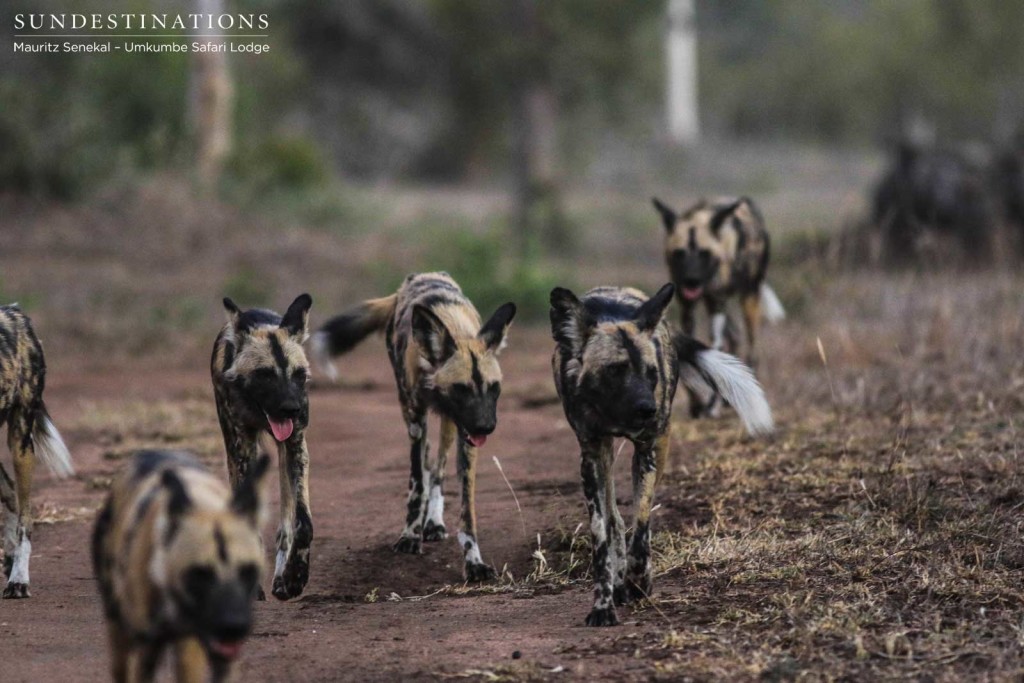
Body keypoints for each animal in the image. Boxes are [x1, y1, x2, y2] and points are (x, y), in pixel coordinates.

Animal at [209, 292, 313, 598]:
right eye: (265, 375)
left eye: (298, 374)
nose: (291, 409)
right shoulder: (242, 451)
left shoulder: (295, 445)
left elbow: (302, 523)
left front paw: (295, 577)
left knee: (286, 521)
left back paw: (281, 577)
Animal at [307, 272, 516, 581]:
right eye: (461, 389)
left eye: (494, 388)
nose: (486, 427)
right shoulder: (417, 419)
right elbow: (417, 483)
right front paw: (410, 537)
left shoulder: (465, 435)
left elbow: (467, 511)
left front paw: (474, 562)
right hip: (411, 412)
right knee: (426, 463)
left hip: (450, 424)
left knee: (438, 468)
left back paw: (434, 522)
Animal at [548, 282, 770, 626]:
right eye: (615, 370)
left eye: (651, 372)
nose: (647, 409)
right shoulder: (592, 455)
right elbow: (602, 536)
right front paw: (603, 605)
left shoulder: (649, 448)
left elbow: (641, 524)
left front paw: (639, 580)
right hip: (606, 458)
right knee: (614, 520)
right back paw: (619, 583)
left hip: (656, 444)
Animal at [655, 194, 782, 411]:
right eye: (679, 253)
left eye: (704, 253)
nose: (691, 280)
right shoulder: (688, 306)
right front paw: (697, 404)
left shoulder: (717, 303)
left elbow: (715, 346)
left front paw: (712, 406)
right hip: (716, 305)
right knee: (734, 338)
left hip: (747, 298)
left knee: (751, 344)